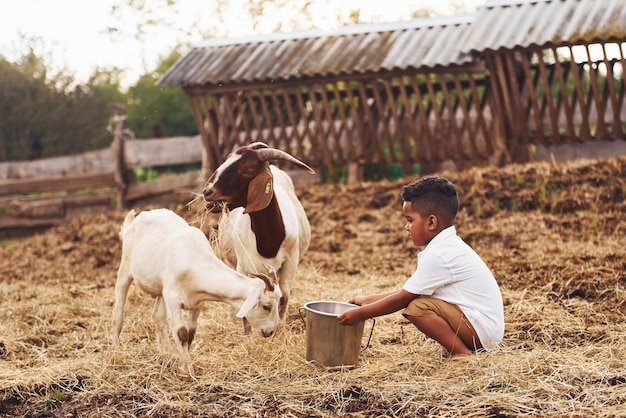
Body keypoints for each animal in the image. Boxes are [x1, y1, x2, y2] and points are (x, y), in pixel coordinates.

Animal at [111, 207, 280, 374]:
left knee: (158, 317)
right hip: (125, 269)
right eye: (267, 306)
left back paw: (166, 355)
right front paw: (187, 370)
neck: (194, 259)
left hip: (161, 288)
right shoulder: (173, 299)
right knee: (118, 312)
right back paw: (117, 348)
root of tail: (136, 220)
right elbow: (181, 333)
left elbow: (191, 332)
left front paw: (184, 363)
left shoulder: (198, 302)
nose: (270, 331)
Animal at [202, 142, 314, 332]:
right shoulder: (244, 264)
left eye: (247, 170)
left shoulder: (291, 261)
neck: (269, 240)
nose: (207, 191)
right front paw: (247, 331)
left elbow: (283, 295)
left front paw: (280, 325)